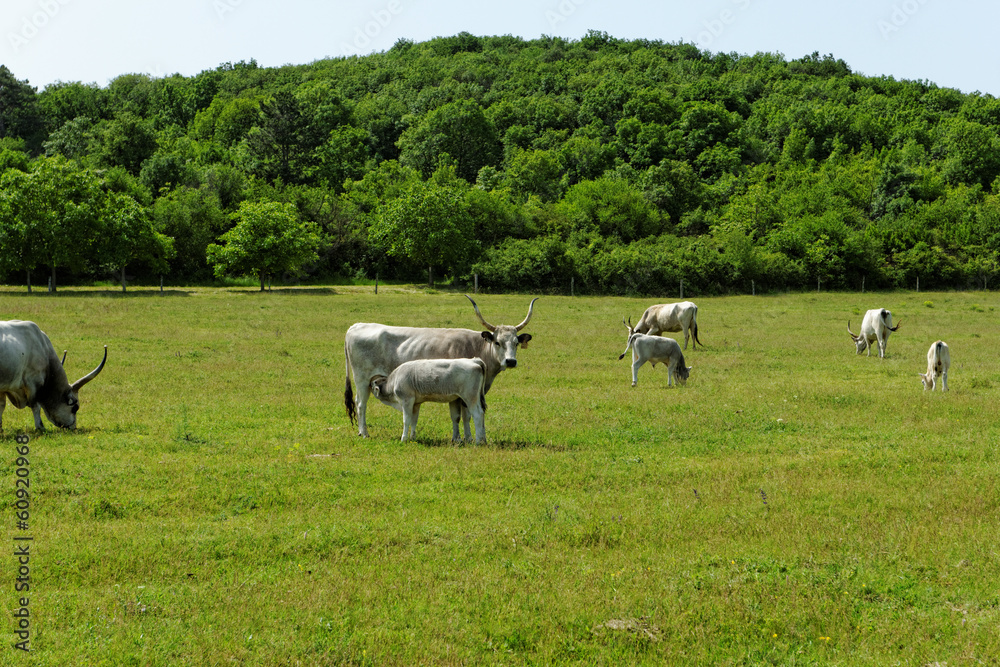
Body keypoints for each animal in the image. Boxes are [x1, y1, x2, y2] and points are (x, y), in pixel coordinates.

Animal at [345, 296, 537, 437]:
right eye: (497, 342)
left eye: (516, 343)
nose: (510, 361)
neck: (477, 347)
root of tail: (356, 326)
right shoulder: (458, 394)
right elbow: (461, 416)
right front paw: (463, 438)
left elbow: (463, 416)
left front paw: (463, 438)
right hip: (362, 379)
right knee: (360, 404)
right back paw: (364, 433)